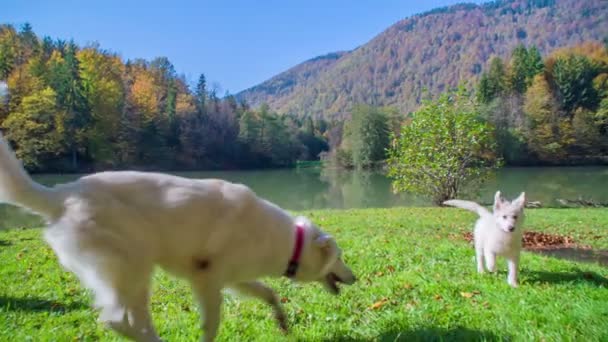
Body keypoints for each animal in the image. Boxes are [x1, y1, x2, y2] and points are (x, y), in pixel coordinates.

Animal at [0, 134, 356, 342]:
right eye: (340, 258)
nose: (355, 278)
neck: (290, 241)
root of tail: (62, 194)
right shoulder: (208, 280)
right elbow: (212, 325)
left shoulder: (234, 279)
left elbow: (269, 294)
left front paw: (282, 322)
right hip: (131, 267)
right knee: (115, 320)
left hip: (135, 277)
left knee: (128, 319)